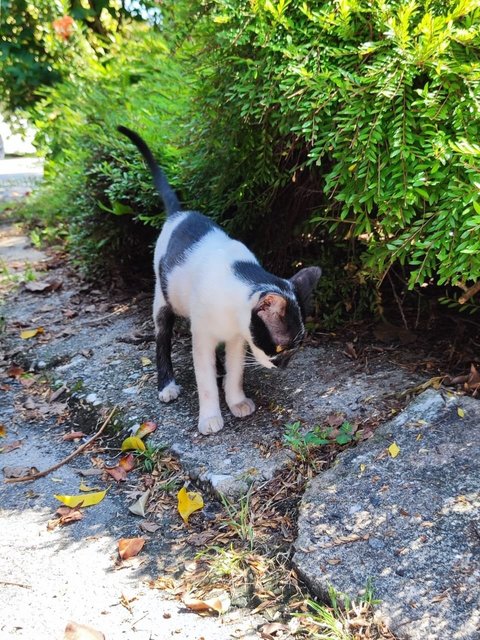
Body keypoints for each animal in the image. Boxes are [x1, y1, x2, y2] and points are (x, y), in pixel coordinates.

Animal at [116, 125, 320, 436]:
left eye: (296, 347)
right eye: (280, 347)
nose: (283, 365)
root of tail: (180, 214)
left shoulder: (238, 338)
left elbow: (236, 371)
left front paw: (235, 400)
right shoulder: (202, 337)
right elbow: (205, 381)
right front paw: (210, 416)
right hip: (162, 299)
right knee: (162, 340)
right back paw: (167, 384)